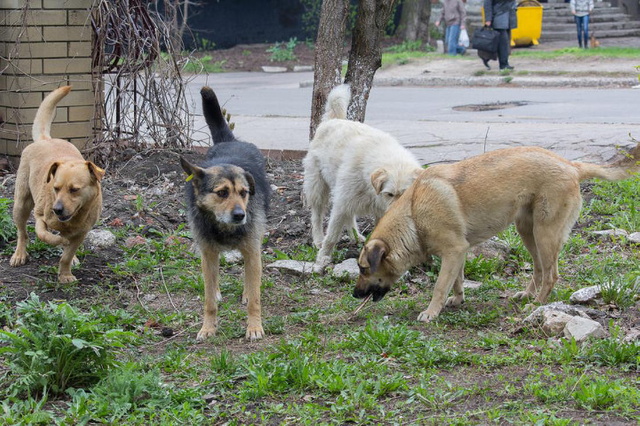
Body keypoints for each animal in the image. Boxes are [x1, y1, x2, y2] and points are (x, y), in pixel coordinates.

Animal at [10, 85, 105, 282]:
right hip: (21, 204)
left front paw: (65, 274)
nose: (57, 209)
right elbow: (44, 235)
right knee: (22, 233)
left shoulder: (82, 232)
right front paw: (58, 241)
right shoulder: (40, 217)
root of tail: (46, 139)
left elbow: (67, 255)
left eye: (74, 190)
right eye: (55, 188)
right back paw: (20, 254)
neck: (73, 219)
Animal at [180, 85, 270, 340]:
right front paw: (208, 327)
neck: (224, 227)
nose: (240, 215)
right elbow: (209, 299)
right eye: (221, 193)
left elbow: (255, 297)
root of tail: (230, 141)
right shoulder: (208, 253)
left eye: (244, 192)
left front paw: (254, 327)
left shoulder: (252, 250)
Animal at [356, 145, 640, 322]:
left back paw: (537, 303)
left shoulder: (453, 251)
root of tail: (571, 165)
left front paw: (431, 311)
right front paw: (457, 299)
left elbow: (440, 286)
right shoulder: (458, 253)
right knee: (539, 269)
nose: (354, 294)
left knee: (551, 275)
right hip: (528, 232)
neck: (414, 214)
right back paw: (528, 295)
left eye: (362, 269)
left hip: (545, 234)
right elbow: (456, 281)